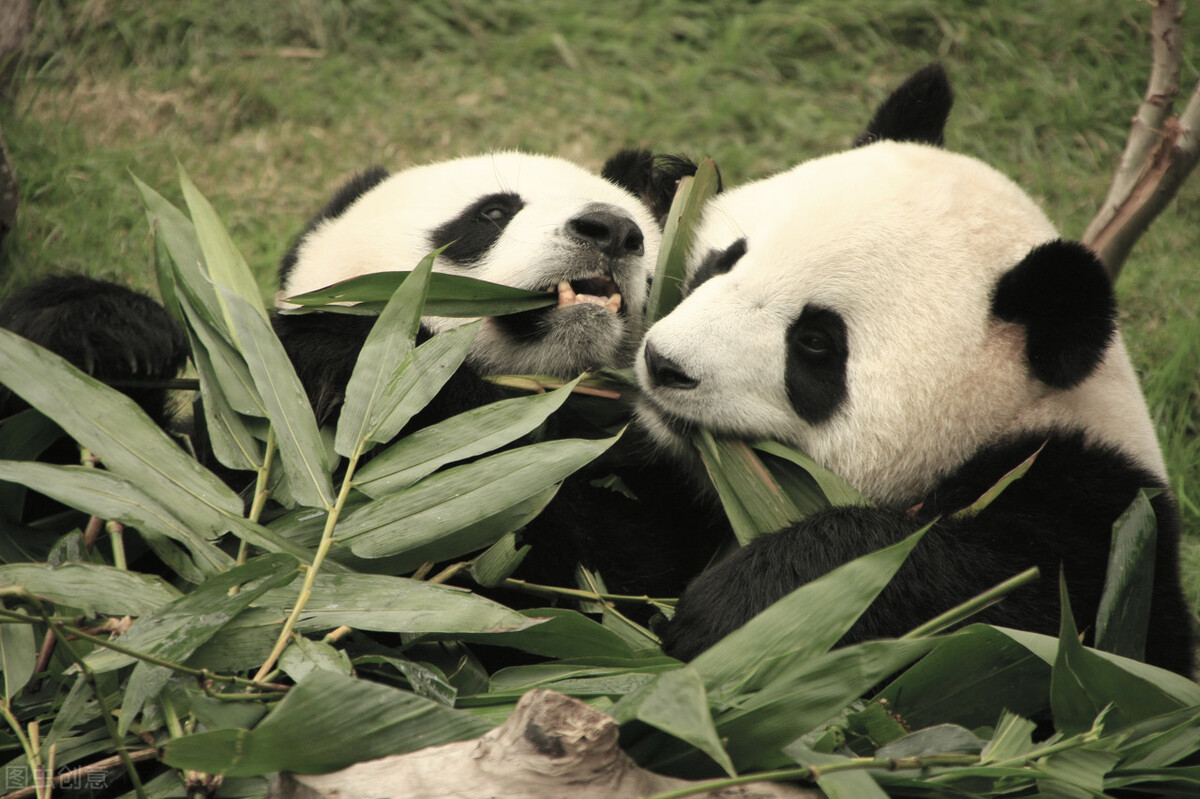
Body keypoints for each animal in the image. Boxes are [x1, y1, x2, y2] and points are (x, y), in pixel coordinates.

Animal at [633, 65, 1195, 671]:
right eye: (725, 260)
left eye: (816, 342)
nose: (664, 363)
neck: (1021, 416)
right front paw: (653, 181)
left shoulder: (1099, 522)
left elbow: (985, 587)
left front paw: (740, 608)